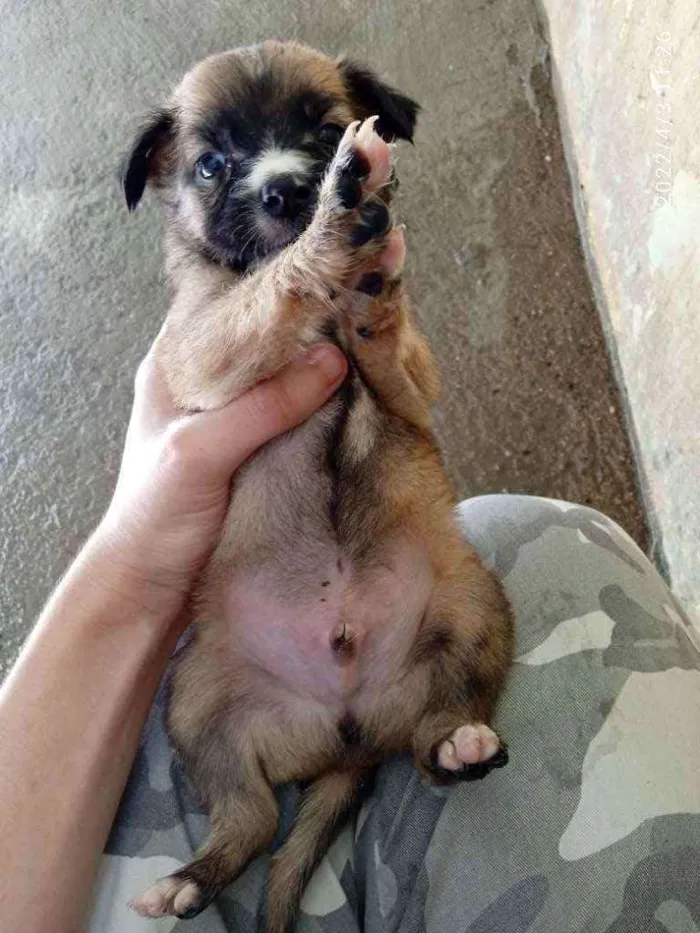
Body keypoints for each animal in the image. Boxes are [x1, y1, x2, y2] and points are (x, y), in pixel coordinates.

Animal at [121, 38, 516, 932]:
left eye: (326, 127)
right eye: (211, 164)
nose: (288, 190)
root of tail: (349, 730)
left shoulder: (413, 383)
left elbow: (383, 340)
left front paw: (367, 280)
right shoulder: (201, 354)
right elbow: (264, 299)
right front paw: (332, 240)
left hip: (473, 608)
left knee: (434, 735)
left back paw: (458, 742)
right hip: (195, 699)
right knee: (253, 814)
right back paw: (190, 878)